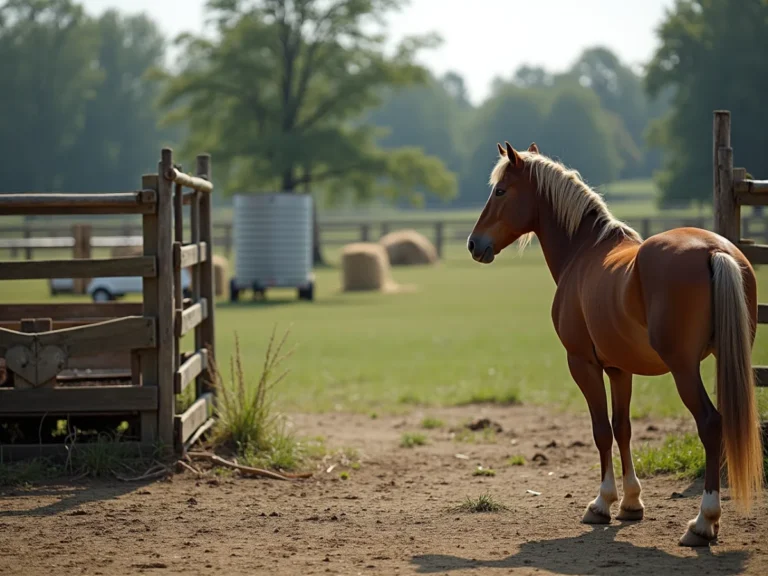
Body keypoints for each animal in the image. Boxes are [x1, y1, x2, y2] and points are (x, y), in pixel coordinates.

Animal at [467, 141, 763, 547]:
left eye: (499, 191)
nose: (473, 244)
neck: (584, 251)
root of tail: (715, 251)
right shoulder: (620, 369)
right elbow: (623, 428)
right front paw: (631, 503)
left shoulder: (583, 364)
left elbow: (601, 431)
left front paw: (602, 503)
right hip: (729, 359)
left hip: (684, 369)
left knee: (711, 423)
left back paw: (703, 522)